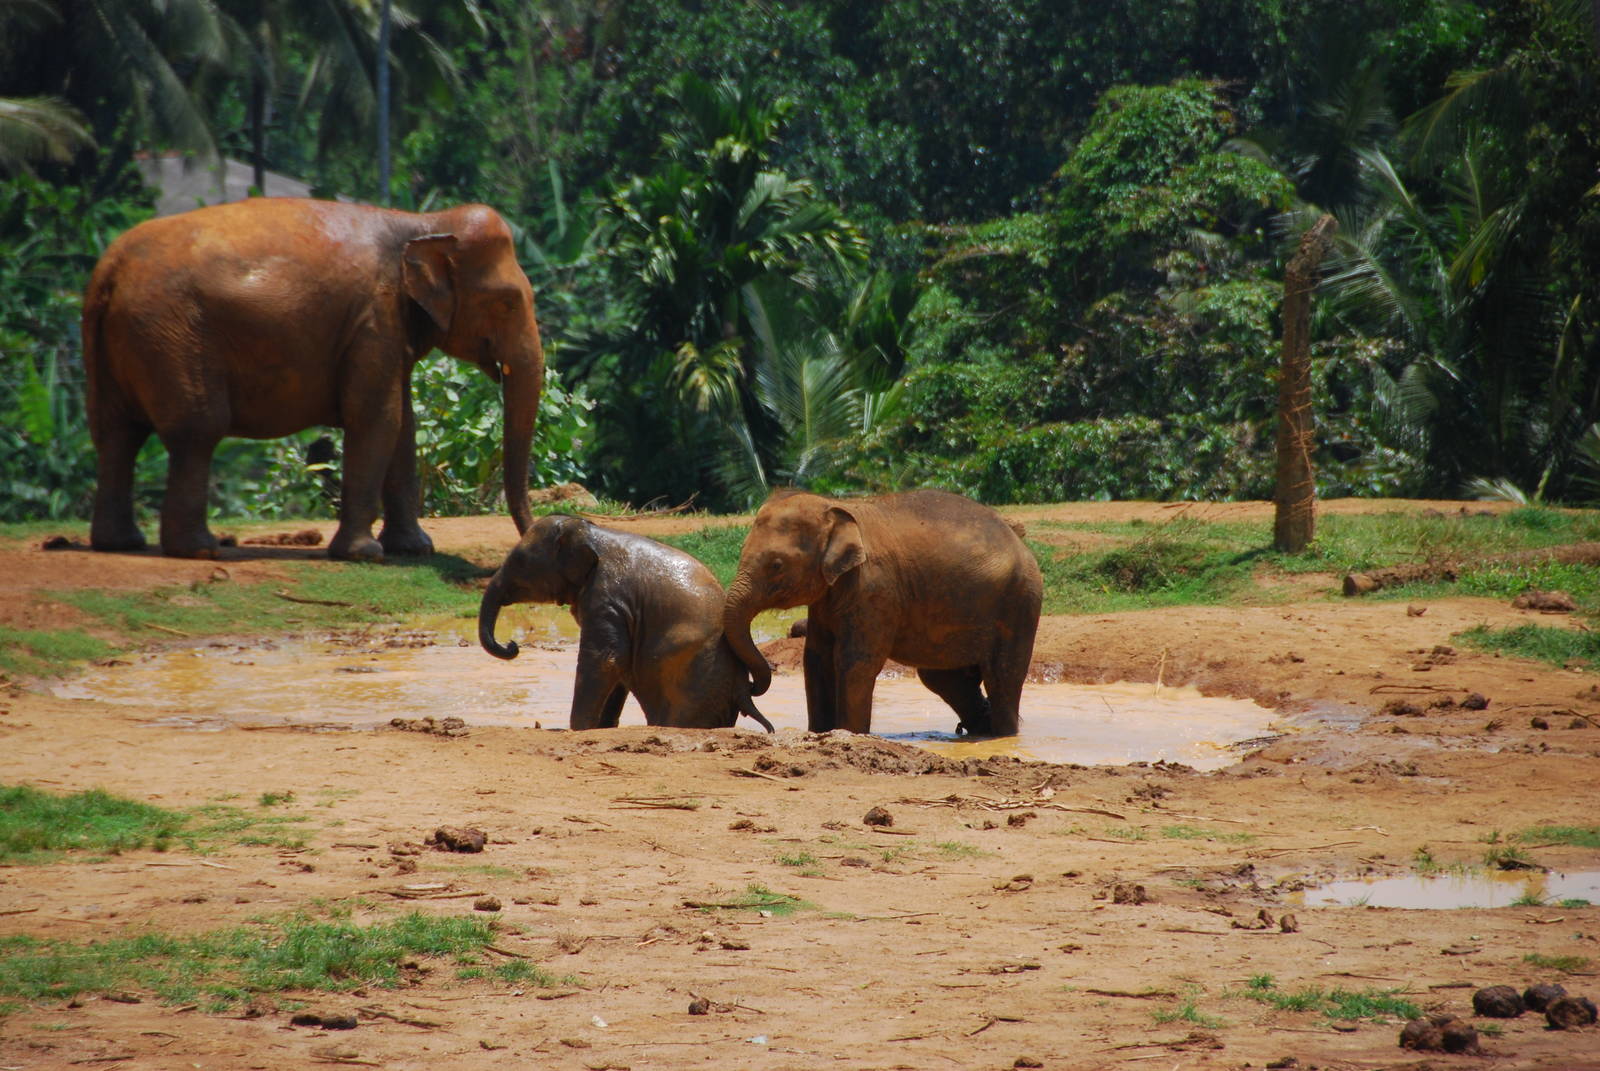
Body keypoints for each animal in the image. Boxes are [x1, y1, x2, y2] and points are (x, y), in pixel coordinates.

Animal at [82, 198, 544, 561]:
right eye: (507, 302)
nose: (530, 537)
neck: (422, 222)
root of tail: (110, 270)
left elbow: (404, 425)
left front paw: (415, 549)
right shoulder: (374, 318)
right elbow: (377, 418)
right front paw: (364, 555)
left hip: (116, 341)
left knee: (116, 432)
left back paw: (120, 544)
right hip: (173, 335)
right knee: (196, 429)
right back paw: (200, 550)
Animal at [478, 514, 773, 732]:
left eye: (519, 560)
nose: (512, 645)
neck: (592, 532)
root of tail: (743, 689)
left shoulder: (606, 597)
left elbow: (605, 658)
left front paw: (579, 730)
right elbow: (617, 666)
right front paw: (601, 729)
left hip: (697, 683)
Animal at [723, 489, 1042, 736]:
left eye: (776, 565)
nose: (750, 685)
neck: (836, 508)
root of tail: (1019, 542)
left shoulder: (875, 588)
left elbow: (854, 661)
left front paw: (849, 734)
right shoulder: (827, 598)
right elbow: (816, 657)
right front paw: (819, 733)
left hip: (1019, 602)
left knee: (1002, 677)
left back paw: (1002, 734)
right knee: (943, 678)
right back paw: (980, 728)